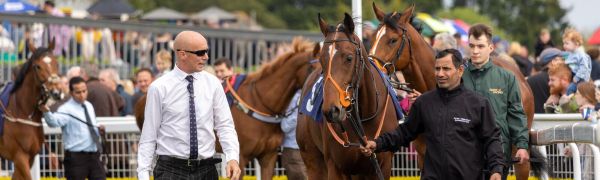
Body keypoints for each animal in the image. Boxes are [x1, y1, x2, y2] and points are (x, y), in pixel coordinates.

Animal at [296, 13, 400, 180]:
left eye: (349, 58)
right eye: (322, 60)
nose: (332, 110)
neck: (364, 118)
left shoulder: (382, 165)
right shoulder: (336, 166)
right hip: (312, 160)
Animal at [368, 3, 548, 179]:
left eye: (392, 40)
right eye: (372, 38)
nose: (372, 66)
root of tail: (520, 77)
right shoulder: (424, 156)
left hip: (518, 156)